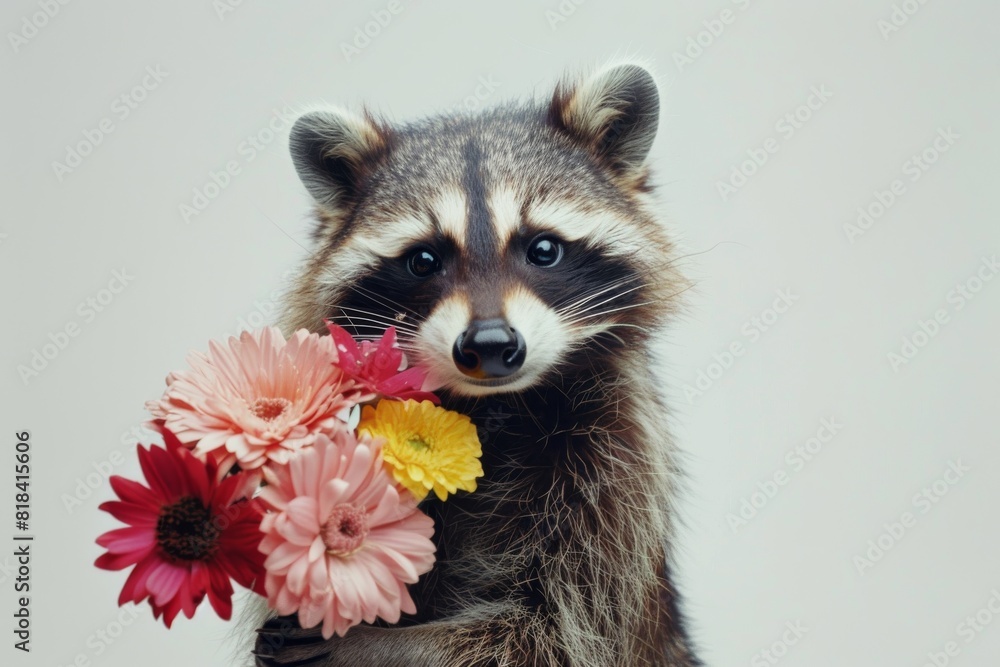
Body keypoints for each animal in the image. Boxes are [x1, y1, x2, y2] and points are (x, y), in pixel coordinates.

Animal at [252, 63, 700, 667]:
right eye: (423, 260)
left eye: (543, 250)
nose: (489, 343)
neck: (496, 408)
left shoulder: (619, 461)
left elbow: (553, 629)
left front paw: (379, 646)